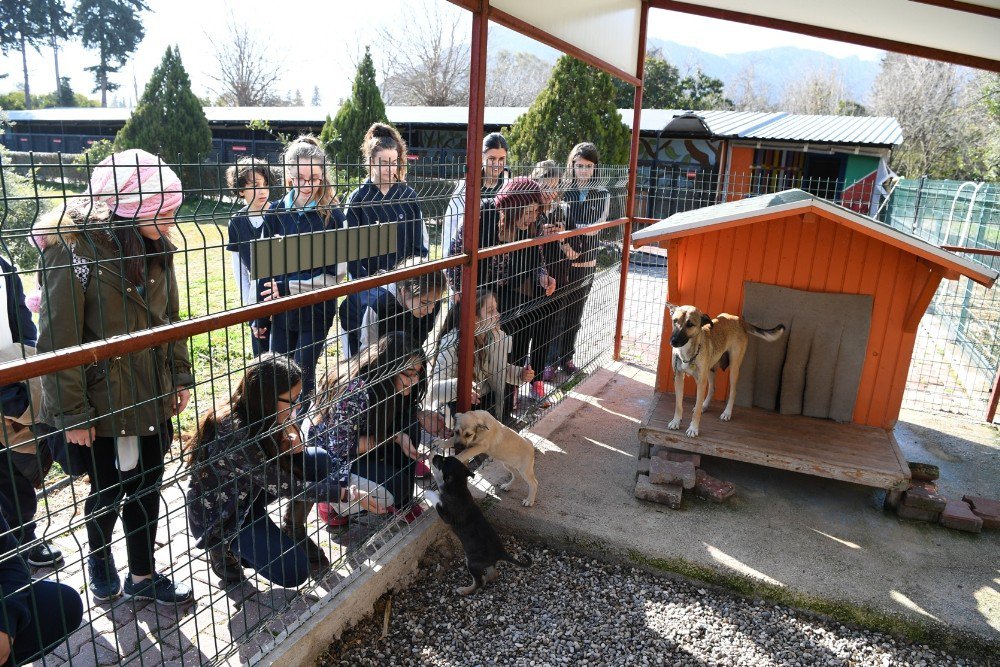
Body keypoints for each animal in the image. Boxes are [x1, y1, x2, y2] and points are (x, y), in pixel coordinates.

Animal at [426, 454, 532, 596]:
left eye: (442, 460)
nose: (435, 456)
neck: (459, 487)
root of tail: (501, 552)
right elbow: (439, 484)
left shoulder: (446, 515)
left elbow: (437, 497)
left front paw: (428, 492)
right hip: (483, 563)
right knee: (493, 574)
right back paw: (486, 578)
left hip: (472, 562)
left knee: (479, 582)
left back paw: (464, 590)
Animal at [668, 304, 784, 438]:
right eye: (675, 321)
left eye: (690, 324)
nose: (673, 341)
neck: (687, 351)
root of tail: (739, 320)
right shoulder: (678, 378)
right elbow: (678, 405)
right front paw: (676, 421)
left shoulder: (701, 382)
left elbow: (696, 411)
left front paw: (693, 428)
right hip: (711, 369)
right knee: (712, 389)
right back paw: (704, 405)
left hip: (734, 368)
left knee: (733, 392)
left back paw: (727, 413)